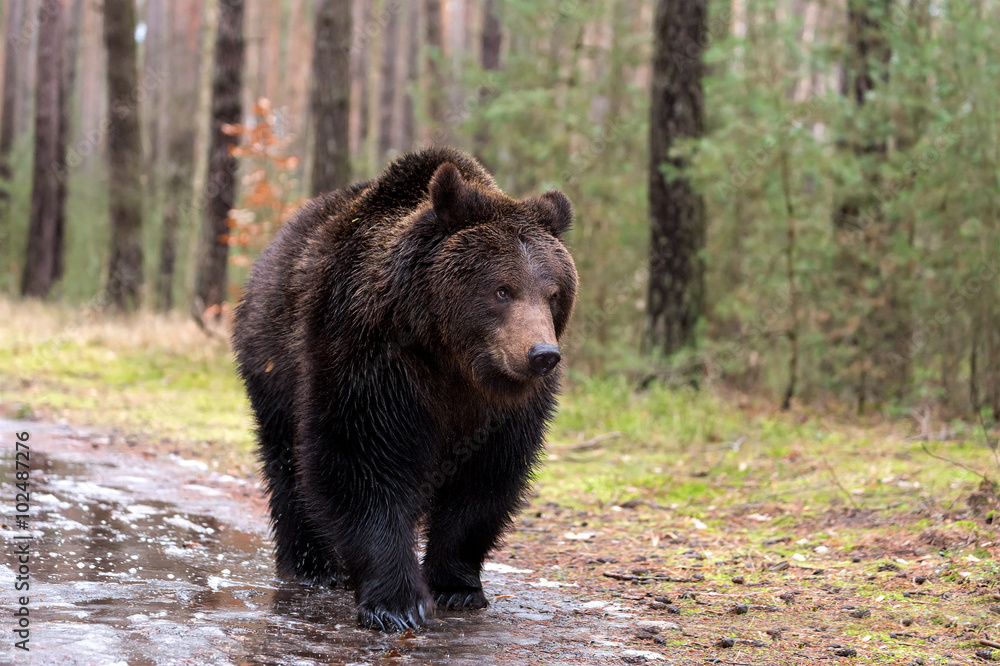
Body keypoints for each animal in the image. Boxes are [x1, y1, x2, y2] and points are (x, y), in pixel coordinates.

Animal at [232, 148, 580, 632]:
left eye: (553, 293)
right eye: (502, 289)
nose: (542, 354)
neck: (451, 358)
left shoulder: (505, 408)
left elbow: (486, 482)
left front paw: (457, 586)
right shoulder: (371, 361)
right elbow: (360, 463)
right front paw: (397, 603)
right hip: (273, 363)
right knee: (288, 464)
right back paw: (311, 566)